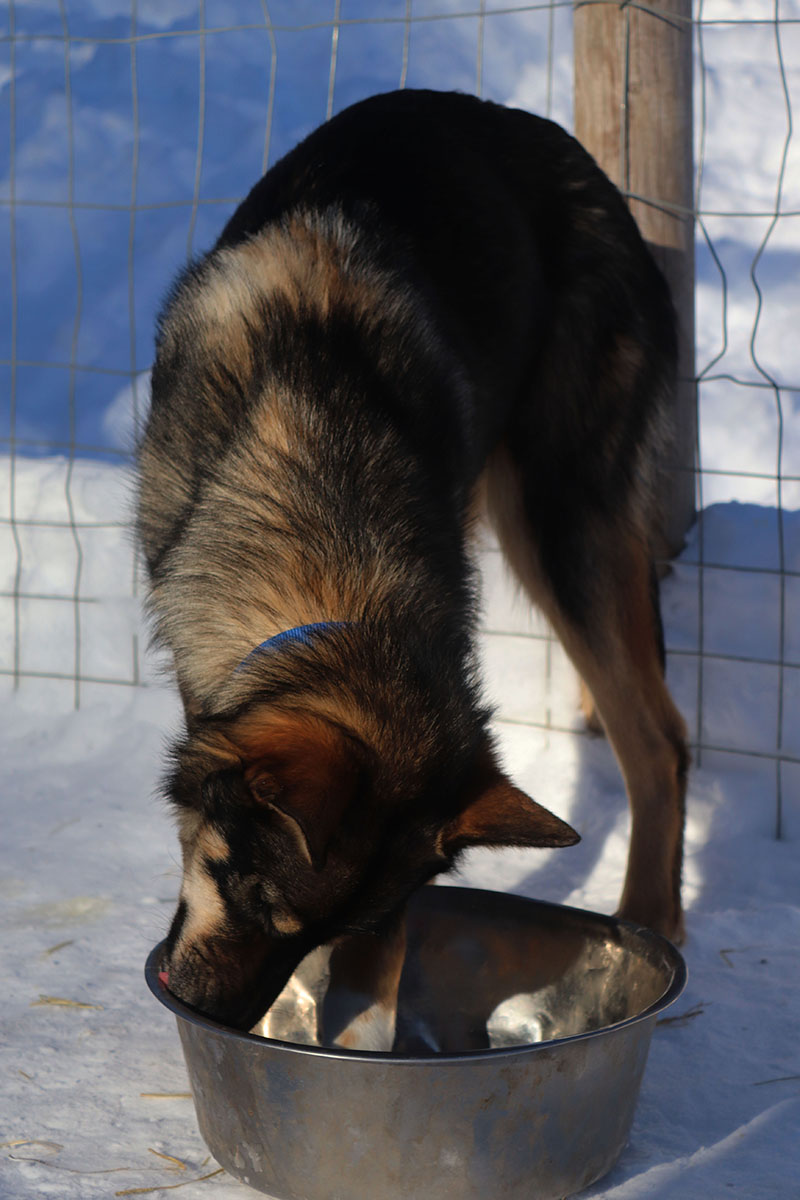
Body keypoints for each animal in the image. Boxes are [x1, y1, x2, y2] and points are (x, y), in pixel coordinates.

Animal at [137, 88, 690, 1041]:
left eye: (318, 928)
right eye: (253, 896)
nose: (210, 1016)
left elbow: (375, 972)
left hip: (562, 520)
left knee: (660, 739)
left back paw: (650, 921)